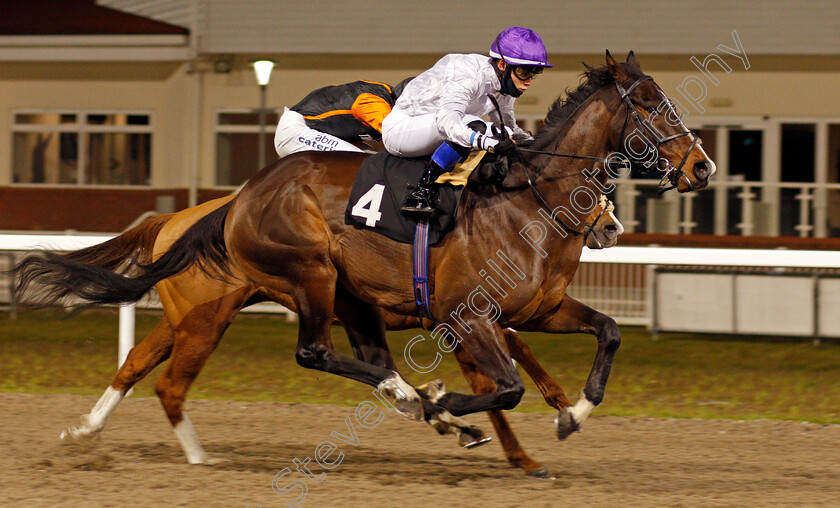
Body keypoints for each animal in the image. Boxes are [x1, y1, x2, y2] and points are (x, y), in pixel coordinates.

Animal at [13, 50, 712, 472]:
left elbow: (608, 332)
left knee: (145, 363)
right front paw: (459, 414)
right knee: (302, 355)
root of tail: (237, 199)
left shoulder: (539, 308)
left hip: (261, 305)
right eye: (652, 105)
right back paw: (405, 395)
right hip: (299, 280)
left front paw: (572, 413)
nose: (702, 167)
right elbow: (505, 386)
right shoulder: (466, 316)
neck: (527, 199)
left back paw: (92, 432)